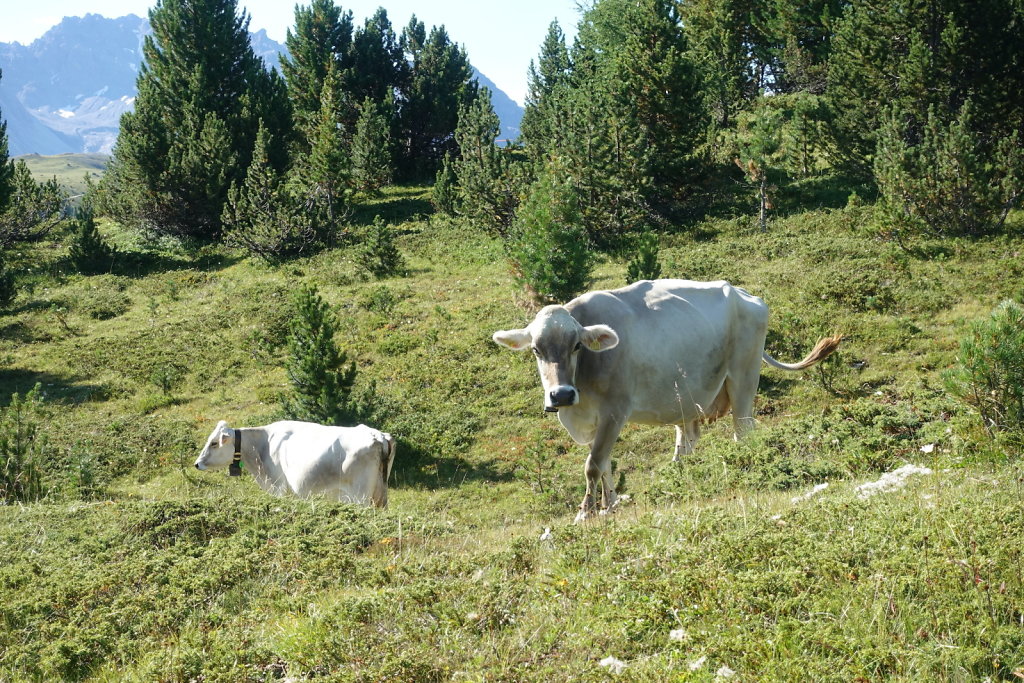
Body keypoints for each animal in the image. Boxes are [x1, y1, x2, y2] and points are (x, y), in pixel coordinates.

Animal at [194, 419, 395, 509]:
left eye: (214, 443)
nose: (197, 464)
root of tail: (377, 435)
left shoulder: (278, 487)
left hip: (360, 496)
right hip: (379, 495)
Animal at [493, 280, 839, 520]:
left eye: (577, 345)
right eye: (536, 349)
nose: (561, 394)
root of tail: (745, 294)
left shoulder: (615, 411)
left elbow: (592, 465)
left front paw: (586, 512)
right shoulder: (592, 421)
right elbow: (603, 464)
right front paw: (610, 504)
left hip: (744, 378)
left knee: (743, 431)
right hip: (686, 396)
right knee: (687, 439)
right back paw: (678, 476)